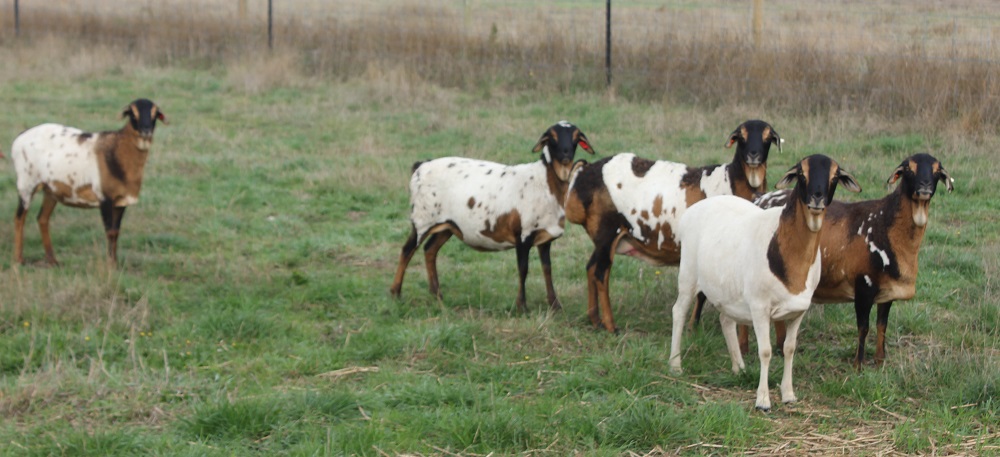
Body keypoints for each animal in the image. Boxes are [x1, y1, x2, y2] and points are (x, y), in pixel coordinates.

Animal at [12, 98, 168, 266]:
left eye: (155, 114)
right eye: (132, 113)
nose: (146, 131)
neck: (117, 151)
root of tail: (19, 138)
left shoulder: (121, 201)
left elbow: (116, 232)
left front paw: (115, 264)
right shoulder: (104, 198)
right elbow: (110, 232)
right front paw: (110, 266)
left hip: (51, 189)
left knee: (42, 218)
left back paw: (52, 260)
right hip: (26, 183)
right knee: (20, 218)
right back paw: (19, 260)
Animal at [388, 119, 592, 312]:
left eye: (576, 138)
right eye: (552, 138)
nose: (566, 156)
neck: (546, 181)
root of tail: (421, 165)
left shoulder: (544, 237)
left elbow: (547, 269)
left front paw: (555, 305)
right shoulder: (522, 235)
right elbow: (523, 269)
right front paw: (522, 307)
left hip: (448, 225)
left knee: (430, 250)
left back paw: (436, 294)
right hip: (422, 219)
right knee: (407, 250)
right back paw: (396, 293)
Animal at [564, 118, 780, 332]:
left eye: (767, 137)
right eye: (741, 136)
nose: (754, 155)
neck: (733, 181)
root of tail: (585, 172)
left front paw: (695, 325)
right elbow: (703, 291)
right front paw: (693, 325)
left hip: (603, 238)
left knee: (591, 268)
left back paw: (595, 320)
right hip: (607, 231)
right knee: (601, 274)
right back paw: (610, 325)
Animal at [664, 155, 860, 412]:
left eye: (836, 175)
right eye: (801, 173)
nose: (817, 198)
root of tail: (694, 210)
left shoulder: (798, 312)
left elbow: (789, 349)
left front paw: (788, 394)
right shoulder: (759, 307)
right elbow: (765, 351)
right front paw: (763, 401)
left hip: (728, 291)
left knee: (726, 320)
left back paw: (739, 368)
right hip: (688, 274)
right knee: (678, 311)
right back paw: (675, 365)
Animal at [704, 153, 952, 366]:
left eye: (937, 170)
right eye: (909, 169)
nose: (924, 187)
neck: (885, 224)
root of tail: (758, 199)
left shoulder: (885, 290)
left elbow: (882, 325)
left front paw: (880, 360)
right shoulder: (863, 285)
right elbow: (864, 327)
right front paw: (858, 365)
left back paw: (779, 346)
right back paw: (745, 347)